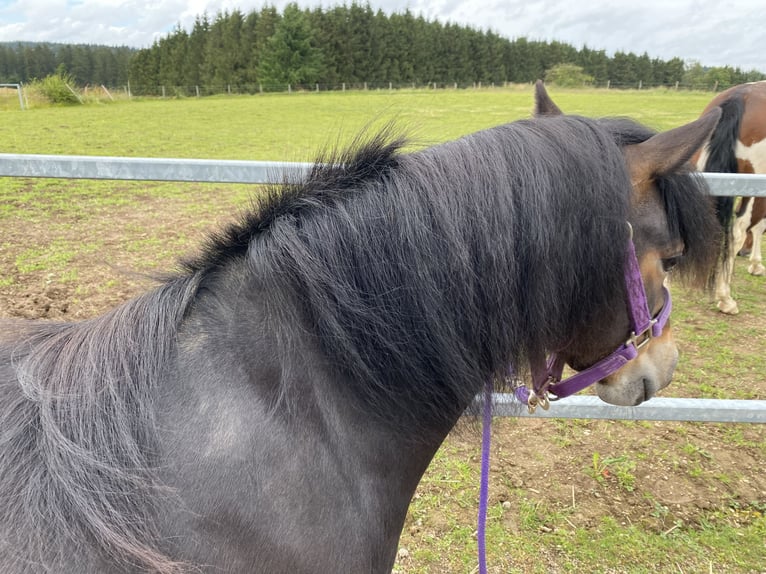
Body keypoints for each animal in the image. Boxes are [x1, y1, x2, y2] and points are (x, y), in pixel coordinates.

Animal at [696, 80, 766, 316]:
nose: (744, 254)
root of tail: (740, 96)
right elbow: (758, 225)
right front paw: (756, 264)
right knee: (738, 231)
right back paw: (725, 298)